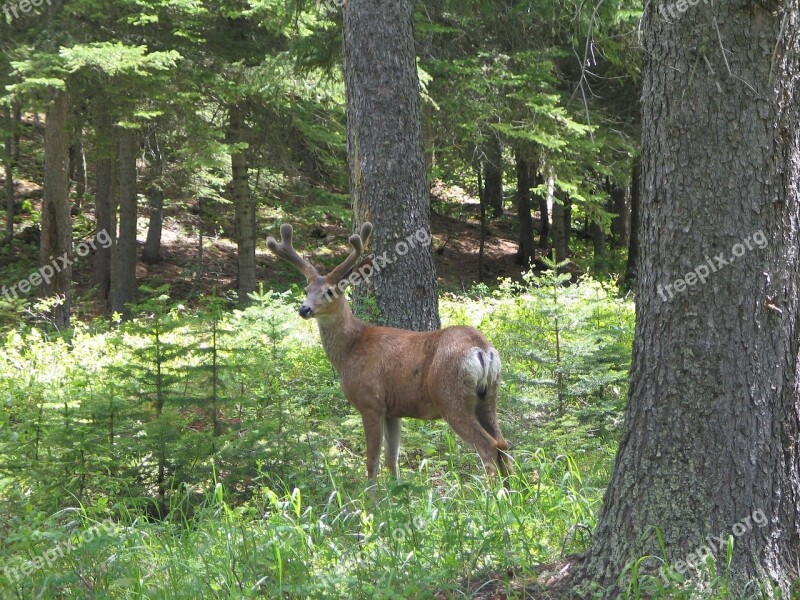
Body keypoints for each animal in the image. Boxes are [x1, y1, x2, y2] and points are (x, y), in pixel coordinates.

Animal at [266, 220, 510, 492]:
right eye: (306, 288)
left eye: (330, 291)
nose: (304, 309)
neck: (350, 350)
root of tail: (482, 349)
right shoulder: (394, 409)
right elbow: (392, 459)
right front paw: (397, 495)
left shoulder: (370, 402)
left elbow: (372, 460)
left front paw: (370, 499)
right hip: (489, 397)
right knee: (504, 445)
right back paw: (514, 493)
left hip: (450, 397)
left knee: (488, 446)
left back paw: (491, 497)